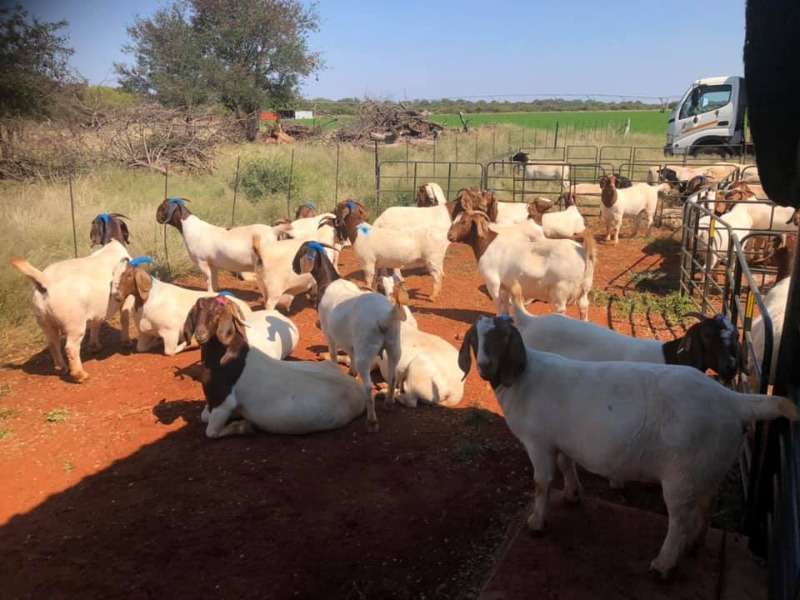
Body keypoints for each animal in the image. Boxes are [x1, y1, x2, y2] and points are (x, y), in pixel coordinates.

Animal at [9, 214, 133, 382]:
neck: (112, 244)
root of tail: (45, 280)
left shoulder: (97, 310)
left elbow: (96, 325)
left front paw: (95, 346)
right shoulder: (127, 299)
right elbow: (125, 319)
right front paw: (126, 342)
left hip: (45, 322)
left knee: (53, 344)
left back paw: (61, 368)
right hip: (74, 323)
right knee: (70, 347)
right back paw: (79, 375)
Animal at [184, 296, 364, 438]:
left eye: (217, 313)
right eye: (197, 310)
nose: (200, 334)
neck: (228, 357)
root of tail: (359, 391)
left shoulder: (223, 402)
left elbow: (211, 431)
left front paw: (244, 426)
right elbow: (204, 416)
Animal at [292, 241, 404, 433]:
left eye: (300, 251)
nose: (293, 268)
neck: (328, 282)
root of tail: (384, 318)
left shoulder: (329, 332)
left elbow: (334, 355)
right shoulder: (350, 340)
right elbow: (350, 354)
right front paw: (351, 372)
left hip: (366, 351)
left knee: (368, 387)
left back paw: (372, 422)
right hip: (394, 345)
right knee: (392, 376)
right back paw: (389, 404)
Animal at [447, 210, 596, 320]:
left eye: (464, 222)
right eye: (454, 220)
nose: (450, 236)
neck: (488, 244)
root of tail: (582, 252)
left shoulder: (492, 282)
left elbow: (498, 303)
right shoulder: (505, 286)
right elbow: (506, 304)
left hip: (560, 290)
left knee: (561, 310)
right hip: (585, 288)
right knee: (584, 306)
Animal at [458, 315, 798, 577]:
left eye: (503, 338)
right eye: (475, 338)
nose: (485, 367)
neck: (523, 379)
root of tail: (734, 401)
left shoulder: (538, 441)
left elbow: (541, 483)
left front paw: (536, 523)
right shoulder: (561, 439)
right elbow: (567, 465)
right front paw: (572, 494)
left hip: (682, 474)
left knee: (680, 519)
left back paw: (664, 564)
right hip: (709, 464)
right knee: (706, 506)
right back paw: (694, 545)